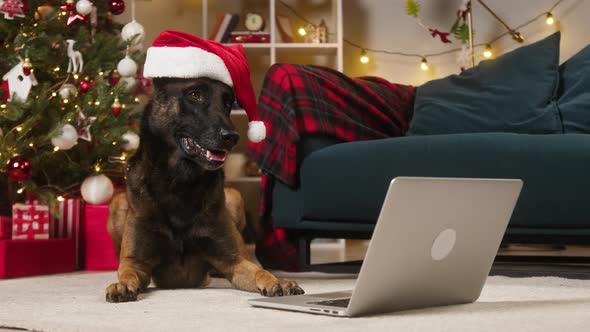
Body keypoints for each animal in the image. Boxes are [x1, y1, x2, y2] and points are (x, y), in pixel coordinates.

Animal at [104, 76, 306, 302]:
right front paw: (121, 285)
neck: (179, 183)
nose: (232, 137)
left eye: (227, 102)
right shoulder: (136, 262)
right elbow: (128, 272)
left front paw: (276, 280)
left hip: (234, 198)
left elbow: (259, 271)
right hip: (118, 203)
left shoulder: (234, 261)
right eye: (195, 95)